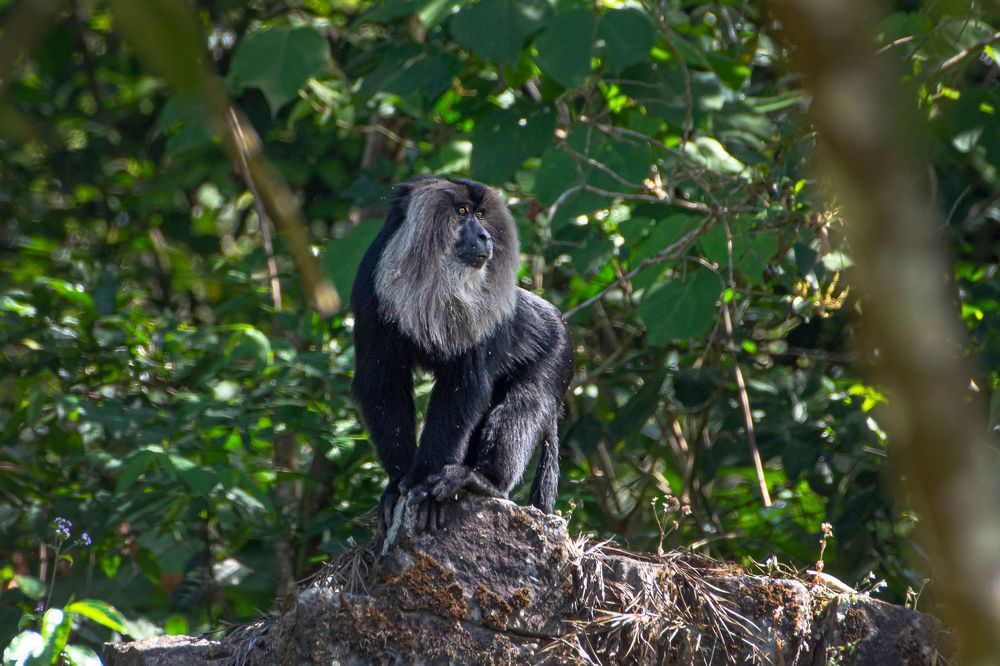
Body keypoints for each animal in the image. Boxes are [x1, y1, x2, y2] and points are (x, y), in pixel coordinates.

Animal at [350, 175, 574, 533]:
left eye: (481, 216)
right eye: (462, 211)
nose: (483, 235)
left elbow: (463, 388)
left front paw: (424, 480)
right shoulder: (370, 292)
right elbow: (382, 383)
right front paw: (398, 481)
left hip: (558, 350)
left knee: (528, 400)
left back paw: (485, 482)